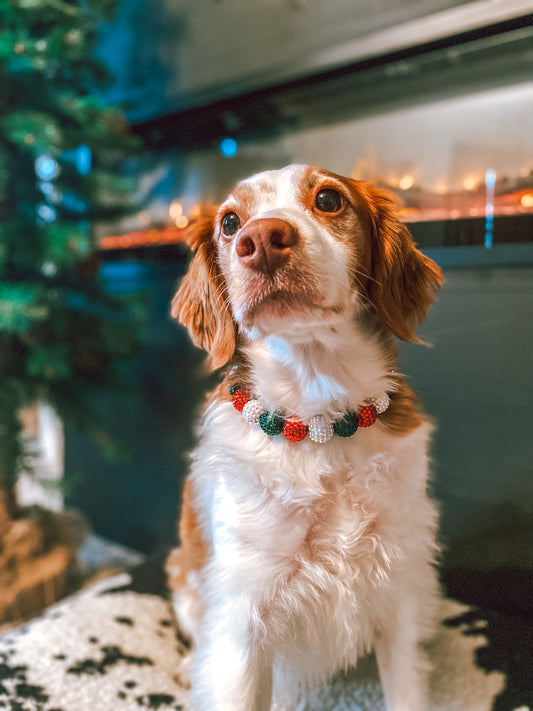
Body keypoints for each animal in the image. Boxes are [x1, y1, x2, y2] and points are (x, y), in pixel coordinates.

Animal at [168, 164, 442, 708]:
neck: (320, 425)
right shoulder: (241, 618)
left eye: (330, 199)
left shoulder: (399, 590)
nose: (261, 240)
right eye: (229, 222)